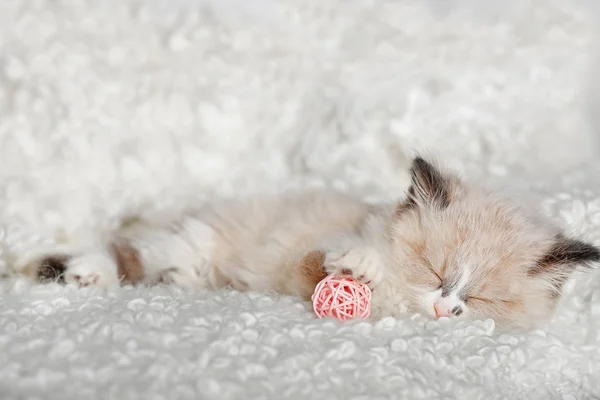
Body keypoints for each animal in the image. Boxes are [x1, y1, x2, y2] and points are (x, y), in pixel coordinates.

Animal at [10, 158, 600, 330]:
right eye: (434, 270)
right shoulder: (302, 264)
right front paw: (358, 267)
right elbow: (328, 261)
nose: (445, 307)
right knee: (123, 251)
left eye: (481, 299)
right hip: (187, 241)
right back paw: (82, 272)